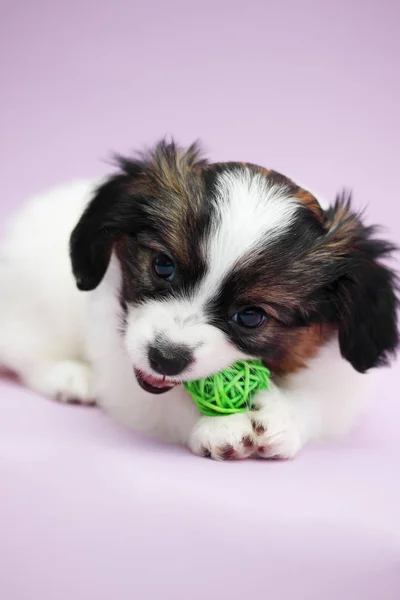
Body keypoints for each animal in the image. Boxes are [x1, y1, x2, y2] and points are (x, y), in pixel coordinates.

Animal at [0, 141, 396, 460]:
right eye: (163, 266)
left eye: (251, 316)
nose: (165, 359)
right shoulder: (125, 370)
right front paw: (221, 427)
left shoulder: (340, 382)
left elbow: (320, 404)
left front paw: (282, 416)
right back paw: (69, 376)